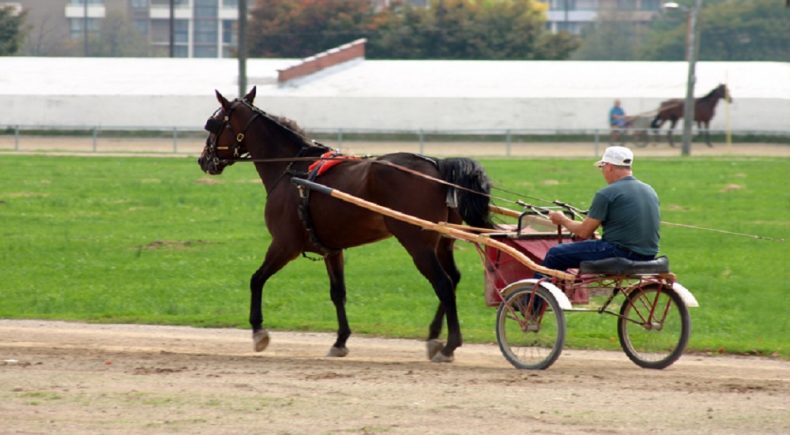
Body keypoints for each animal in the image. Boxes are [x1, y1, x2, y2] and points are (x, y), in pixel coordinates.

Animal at [198, 87, 496, 362]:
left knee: (443, 284)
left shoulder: (285, 245)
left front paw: (258, 331)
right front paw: (340, 340)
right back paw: (434, 336)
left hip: (417, 242)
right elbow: (338, 292)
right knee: (453, 279)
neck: (292, 169)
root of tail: (437, 166)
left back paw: (449, 345)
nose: (203, 160)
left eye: (213, 124)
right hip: (443, 241)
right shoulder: (331, 249)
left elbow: (256, 279)